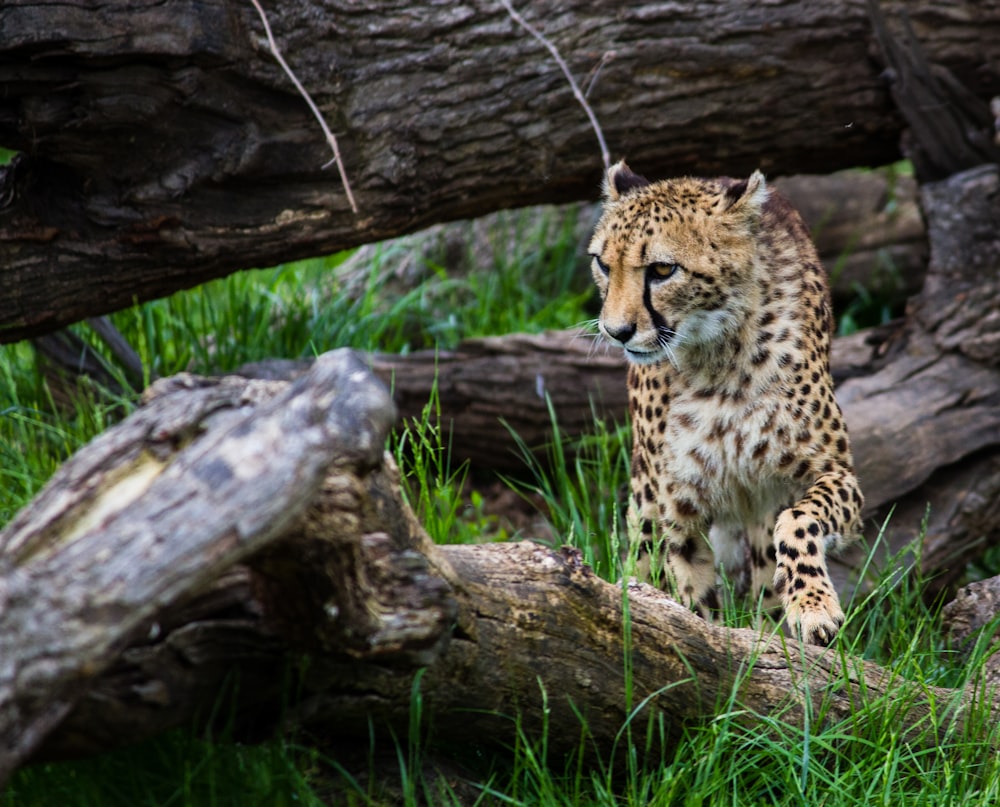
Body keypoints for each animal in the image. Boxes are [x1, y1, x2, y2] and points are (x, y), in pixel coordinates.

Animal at [588, 161, 864, 648]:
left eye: (662, 269)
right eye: (603, 264)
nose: (616, 331)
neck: (718, 357)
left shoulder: (831, 474)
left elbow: (798, 520)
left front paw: (813, 607)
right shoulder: (677, 509)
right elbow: (692, 596)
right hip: (646, 501)